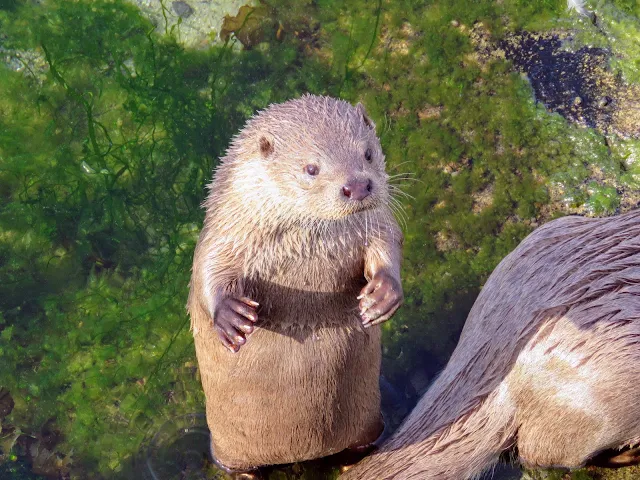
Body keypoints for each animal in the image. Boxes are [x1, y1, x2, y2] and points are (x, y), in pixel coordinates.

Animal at [188, 95, 402, 474]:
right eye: (311, 168)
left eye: (367, 153)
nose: (357, 186)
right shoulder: (225, 233)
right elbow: (207, 272)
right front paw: (231, 317)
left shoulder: (377, 225)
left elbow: (388, 246)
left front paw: (383, 295)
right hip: (228, 447)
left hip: (366, 422)